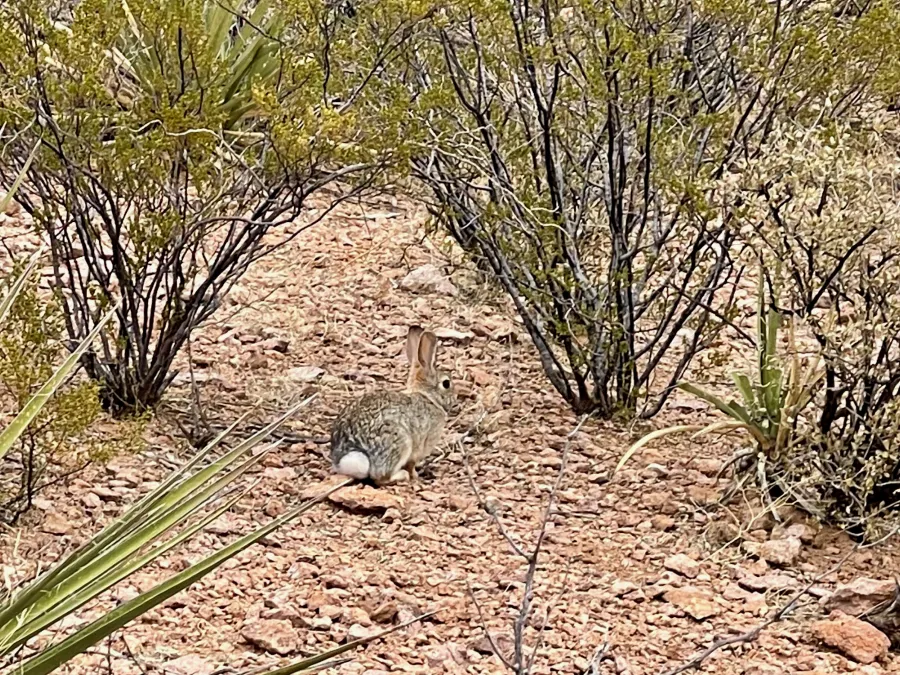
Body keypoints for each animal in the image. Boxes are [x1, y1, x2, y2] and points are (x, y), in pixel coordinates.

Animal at [330, 326, 456, 485]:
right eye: (446, 383)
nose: (455, 398)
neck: (428, 397)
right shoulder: (419, 446)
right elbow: (411, 465)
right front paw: (416, 476)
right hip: (400, 442)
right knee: (380, 478)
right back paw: (402, 475)